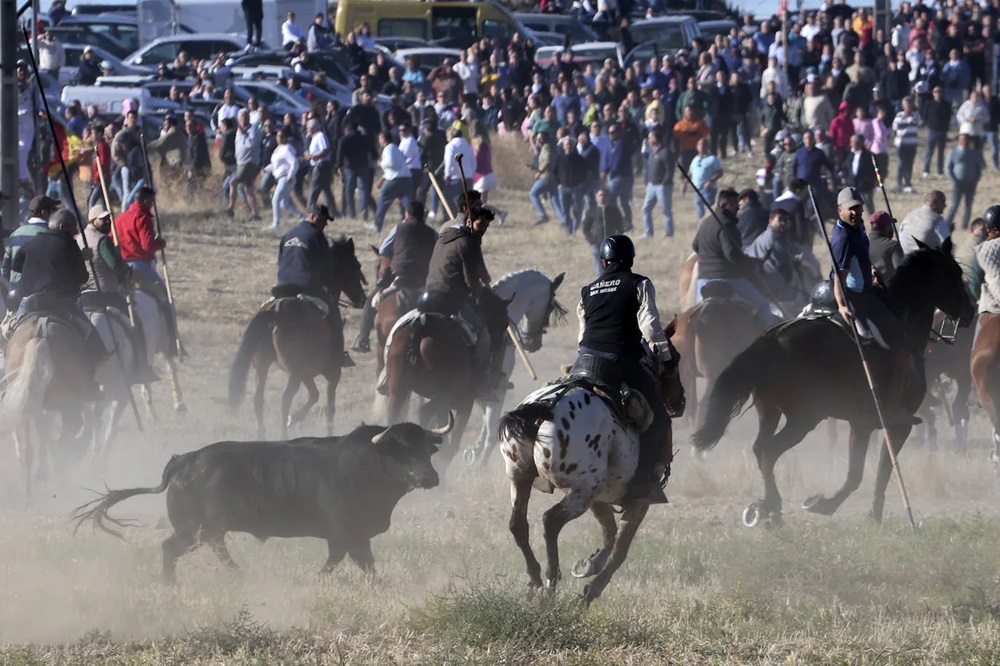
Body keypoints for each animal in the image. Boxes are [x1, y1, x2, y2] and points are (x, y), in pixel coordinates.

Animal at [0, 314, 97, 496]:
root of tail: (41, 334)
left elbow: (43, 433)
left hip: (26, 404)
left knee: (27, 449)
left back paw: (28, 493)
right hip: (67, 404)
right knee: (63, 441)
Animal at [74, 418, 454, 580]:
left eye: (426, 448)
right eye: (401, 450)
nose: (429, 478)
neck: (367, 464)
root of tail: (186, 460)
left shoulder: (349, 537)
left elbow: (351, 563)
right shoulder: (348, 534)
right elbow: (353, 562)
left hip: (205, 529)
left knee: (205, 547)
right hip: (193, 529)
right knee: (174, 548)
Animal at [229, 236, 368, 438]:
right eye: (355, 266)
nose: (362, 299)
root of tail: (275, 311)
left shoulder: (306, 373)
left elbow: (314, 395)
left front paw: (294, 418)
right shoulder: (332, 373)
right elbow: (329, 407)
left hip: (263, 365)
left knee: (258, 400)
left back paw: (263, 435)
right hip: (294, 371)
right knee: (285, 399)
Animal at [460, 268, 564, 464]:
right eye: (550, 306)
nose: (533, 344)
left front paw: (475, 451)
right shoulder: (498, 388)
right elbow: (491, 429)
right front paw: (479, 462)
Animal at [692, 239, 972, 524]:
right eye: (956, 273)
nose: (970, 311)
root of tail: (770, 339)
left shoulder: (861, 424)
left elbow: (860, 471)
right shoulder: (895, 425)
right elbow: (877, 470)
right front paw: (837, 506)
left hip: (770, 411)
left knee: (760, 449)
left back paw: (767, 508)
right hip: (804, 418)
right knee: (770, 451)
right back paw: (773, 508)